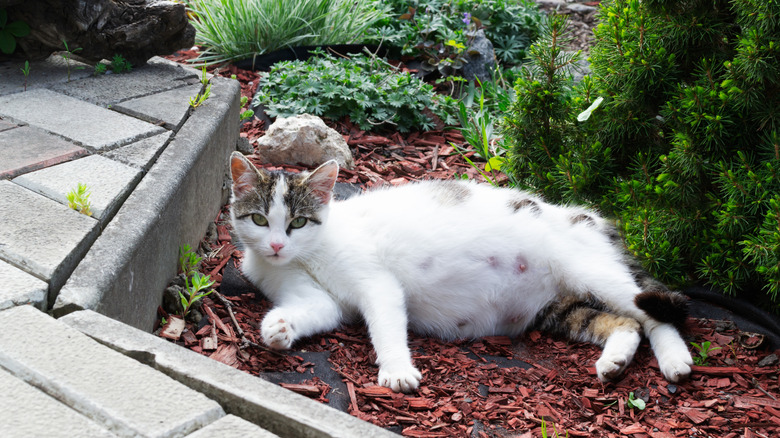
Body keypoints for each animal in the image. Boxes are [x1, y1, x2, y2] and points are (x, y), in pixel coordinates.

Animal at [229, 152, 692, 392]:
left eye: (298, 223)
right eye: (259, 219)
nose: (276, 246)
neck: (307, 255)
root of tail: (591, 220)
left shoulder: (376, 283)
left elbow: (386, 323)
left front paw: (397, 370)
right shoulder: (318, 298)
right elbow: (314, 309)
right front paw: (278, 328)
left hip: (592, 271)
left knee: (654, 313)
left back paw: (676, 360)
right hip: (559, 307)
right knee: (626, 322)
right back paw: (614, 361)